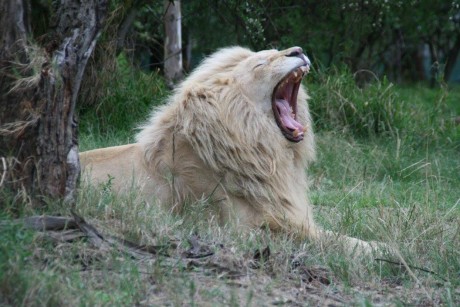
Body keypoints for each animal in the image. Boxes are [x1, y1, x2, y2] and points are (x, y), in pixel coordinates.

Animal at [80, 46, 380, 255]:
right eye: (261, 62)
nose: (298, 50)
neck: (269, 152)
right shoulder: (248, 229)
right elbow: (333, 239)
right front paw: (383, 250)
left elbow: (333, 233)